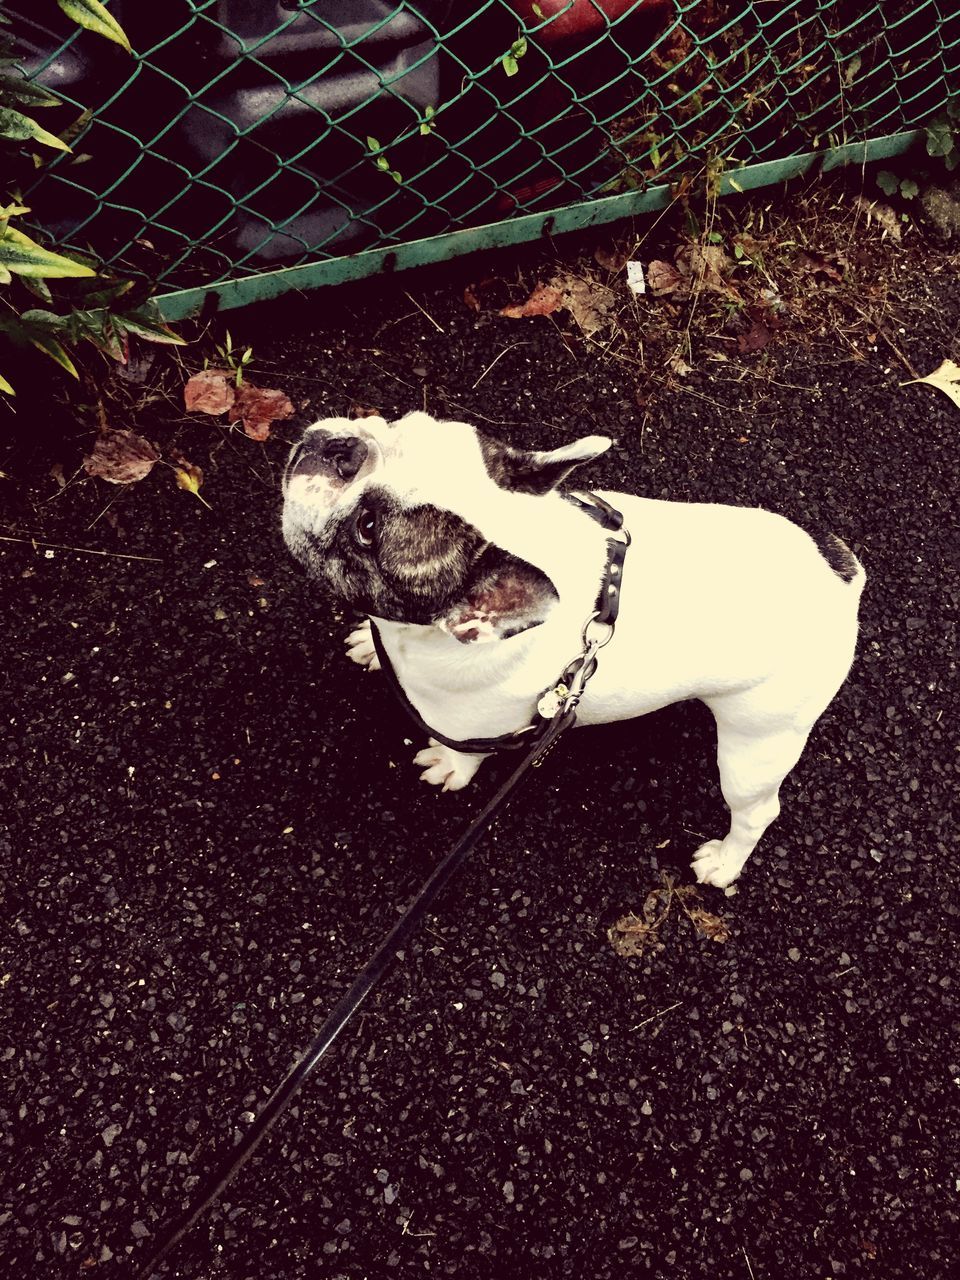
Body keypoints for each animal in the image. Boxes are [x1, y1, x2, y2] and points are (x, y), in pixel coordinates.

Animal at [281, 412, 870, 890]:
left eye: (368, 529)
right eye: (399, 423)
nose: (343, 451)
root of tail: (843, 583)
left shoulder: (479, 727)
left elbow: (464, 755)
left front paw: (449, 766)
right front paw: (369, 642)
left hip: (756, 746)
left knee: (758, 810)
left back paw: (725, 861)